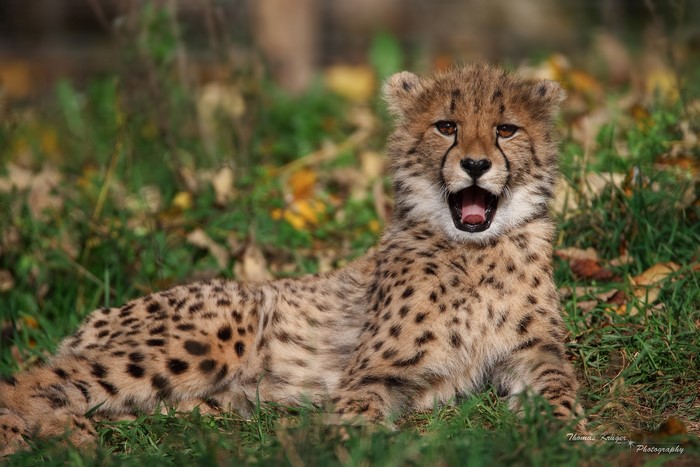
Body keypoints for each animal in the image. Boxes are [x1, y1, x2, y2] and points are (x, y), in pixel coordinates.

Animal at [0, 63, 583, 456]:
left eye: (506, 129)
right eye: (446, 126)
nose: (476, 165)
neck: (473, 253)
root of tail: (97, 316)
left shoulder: (533, 350)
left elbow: (559, 381)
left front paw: (561, 426)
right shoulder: (370, 371)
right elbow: (361, 411)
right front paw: (359, 443)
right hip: (216, 332)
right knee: (35, 380)